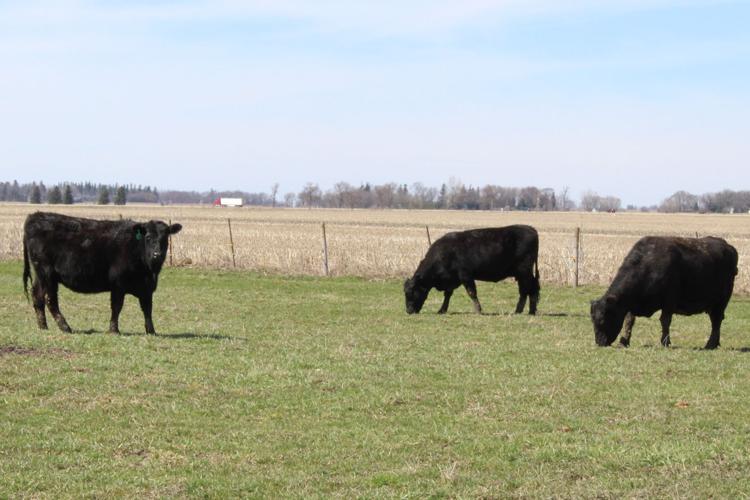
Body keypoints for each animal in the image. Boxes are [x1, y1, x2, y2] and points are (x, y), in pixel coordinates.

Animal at [23, 211, 182, 334]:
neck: (149, 271)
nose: (157, 254)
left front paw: (151, 331)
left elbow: (147, 309)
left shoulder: (147, 288)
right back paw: (65, 327)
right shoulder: (118, 284)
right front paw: (114, 330)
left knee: (37, 296)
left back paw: (43, 326)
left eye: (165, 238)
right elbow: (117, 306)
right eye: (148, 238)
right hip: (47, 274)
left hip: (40, 275)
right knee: (51, 300)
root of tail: (35, 216)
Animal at [404, 225, 540, 315]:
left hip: (524, 272)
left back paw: (522, 311)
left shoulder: (465, 275)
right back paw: (528, 310)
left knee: (527, 290)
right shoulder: (452, 279)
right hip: (522, 273)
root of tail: (531, 229)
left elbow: (472, 292)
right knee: (530, 289)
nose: (409, 311)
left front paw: (478, 310)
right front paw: (442, 310)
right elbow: (448, 294)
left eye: (411, 292)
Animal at [590, 236, 738, 349]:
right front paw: (624, 341)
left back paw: (710, 344)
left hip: (720, 302)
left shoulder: (669, 301)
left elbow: (665, 321)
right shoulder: (631, 304)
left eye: (603, 319)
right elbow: (629, 321)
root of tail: (728, 246)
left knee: (716, 322)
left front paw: (665, 342)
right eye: (593, 320)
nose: (599, 342)